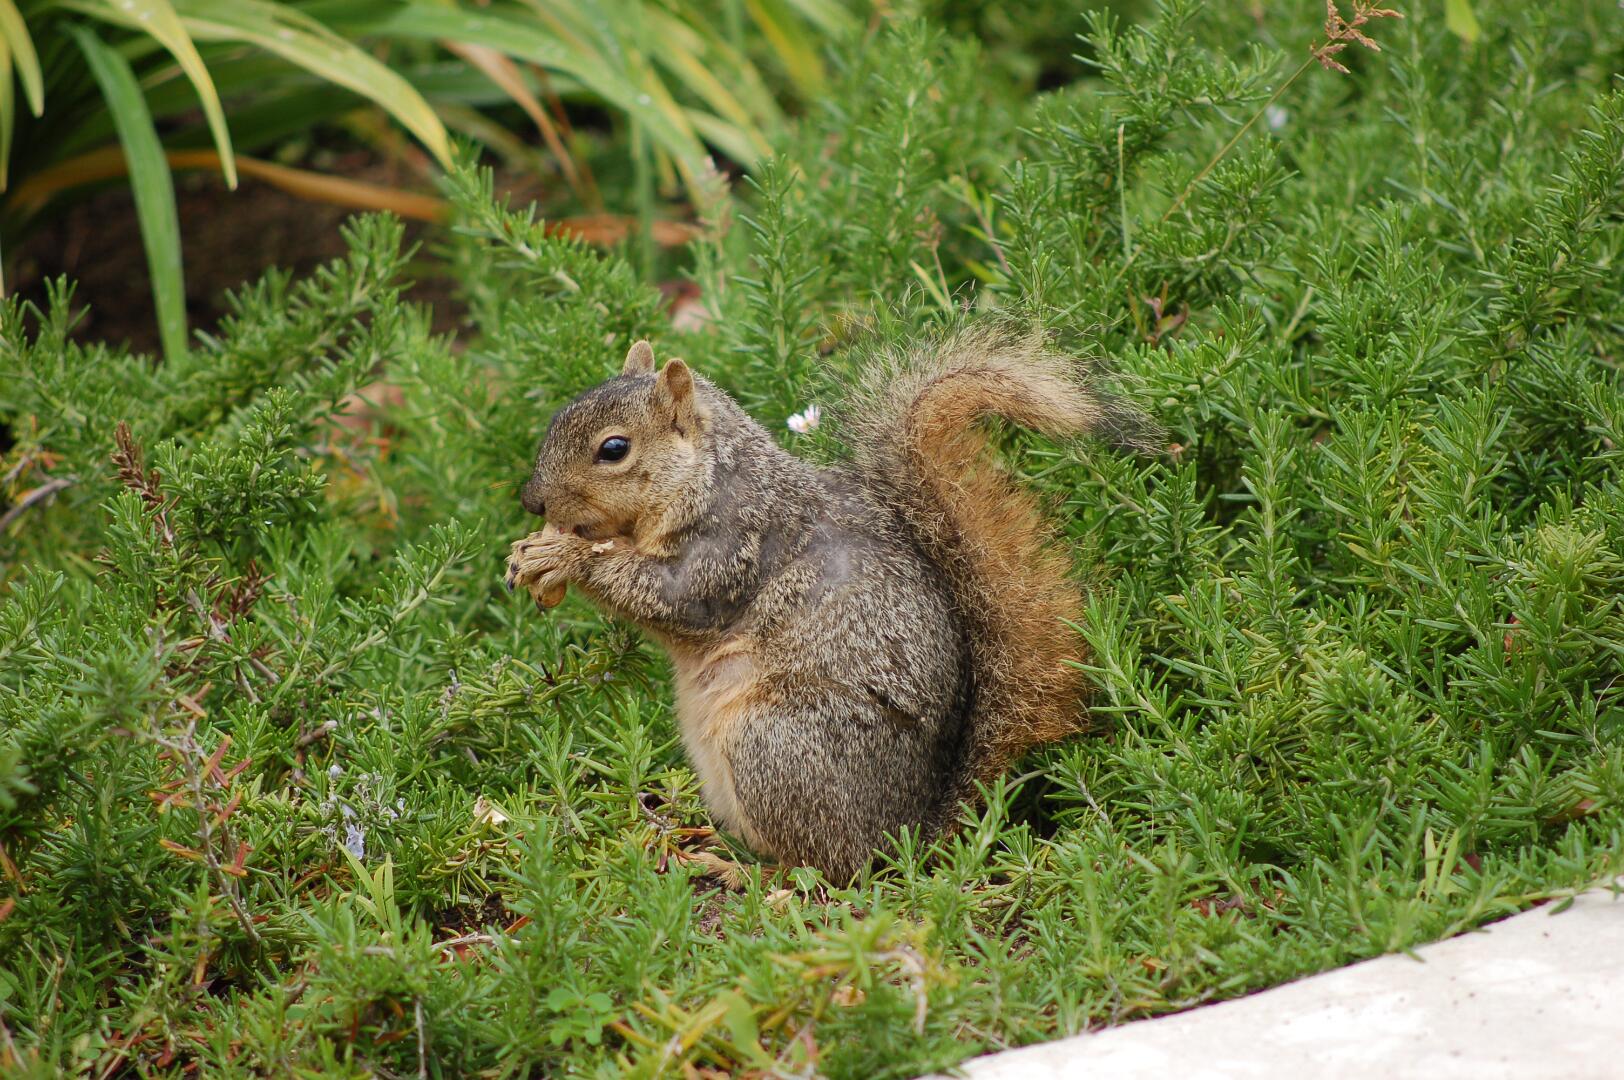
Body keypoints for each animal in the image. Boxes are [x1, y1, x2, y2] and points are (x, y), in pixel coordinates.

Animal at [505, 327, 1155, 881]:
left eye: (614, 449)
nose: (533, 502)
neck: (709, 475)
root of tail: (906, 836)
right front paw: (532, 554)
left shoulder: (735, 547)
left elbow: (673, 598)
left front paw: (566, 557)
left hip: (774, 747)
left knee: (827, 869)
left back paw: (741, 872)